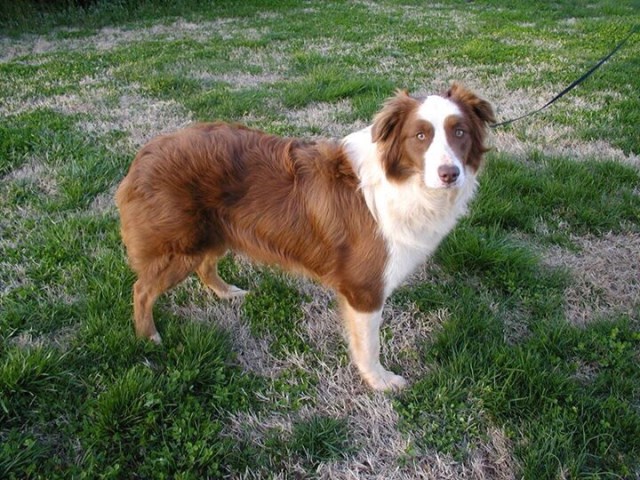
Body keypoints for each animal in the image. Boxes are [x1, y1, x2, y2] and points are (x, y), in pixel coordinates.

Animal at [116, 82, 496, 390]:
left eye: (459, 132)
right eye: (420, 136)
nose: (449, 174)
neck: (402, 182)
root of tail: (144, 154)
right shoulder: (365, 289)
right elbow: (369, 345)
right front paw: (379, 382)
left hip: (215, 232)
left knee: (205, 267)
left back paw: (227, 293)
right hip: (183, 245)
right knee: (142, 290)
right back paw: (148, 337)